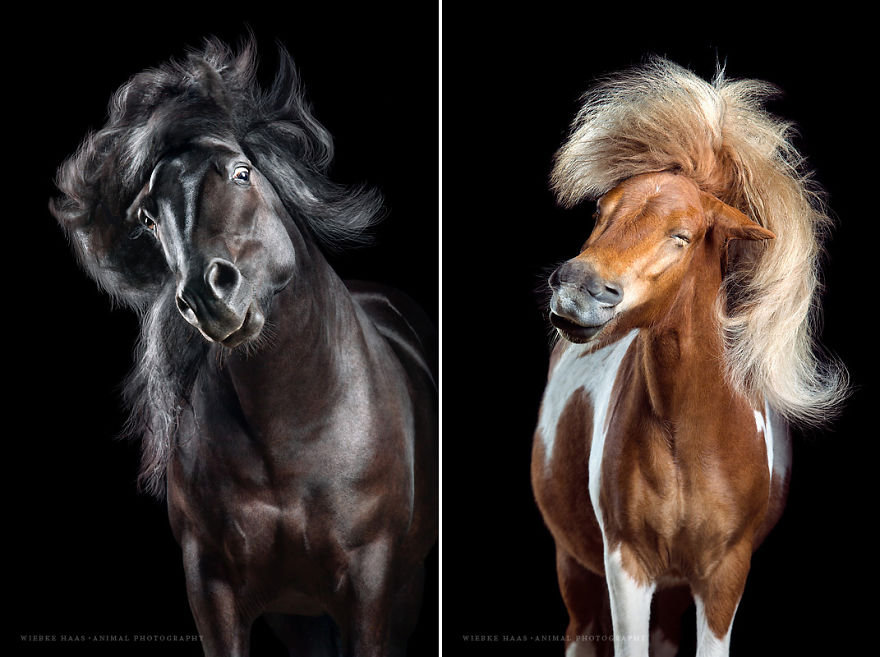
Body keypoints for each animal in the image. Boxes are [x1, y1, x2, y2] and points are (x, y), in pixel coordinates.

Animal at [50, 38, 437, 657]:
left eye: (240, 172)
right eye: (149, 216)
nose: (208, 294)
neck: (290, 434)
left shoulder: (372, 587)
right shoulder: (213, 589)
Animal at [531, 58, 847, 657]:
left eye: (681, 235)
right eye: (602, 211)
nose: (577, 290)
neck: (689, 440)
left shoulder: (723, 577)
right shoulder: (626, 566)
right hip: (574, 567)